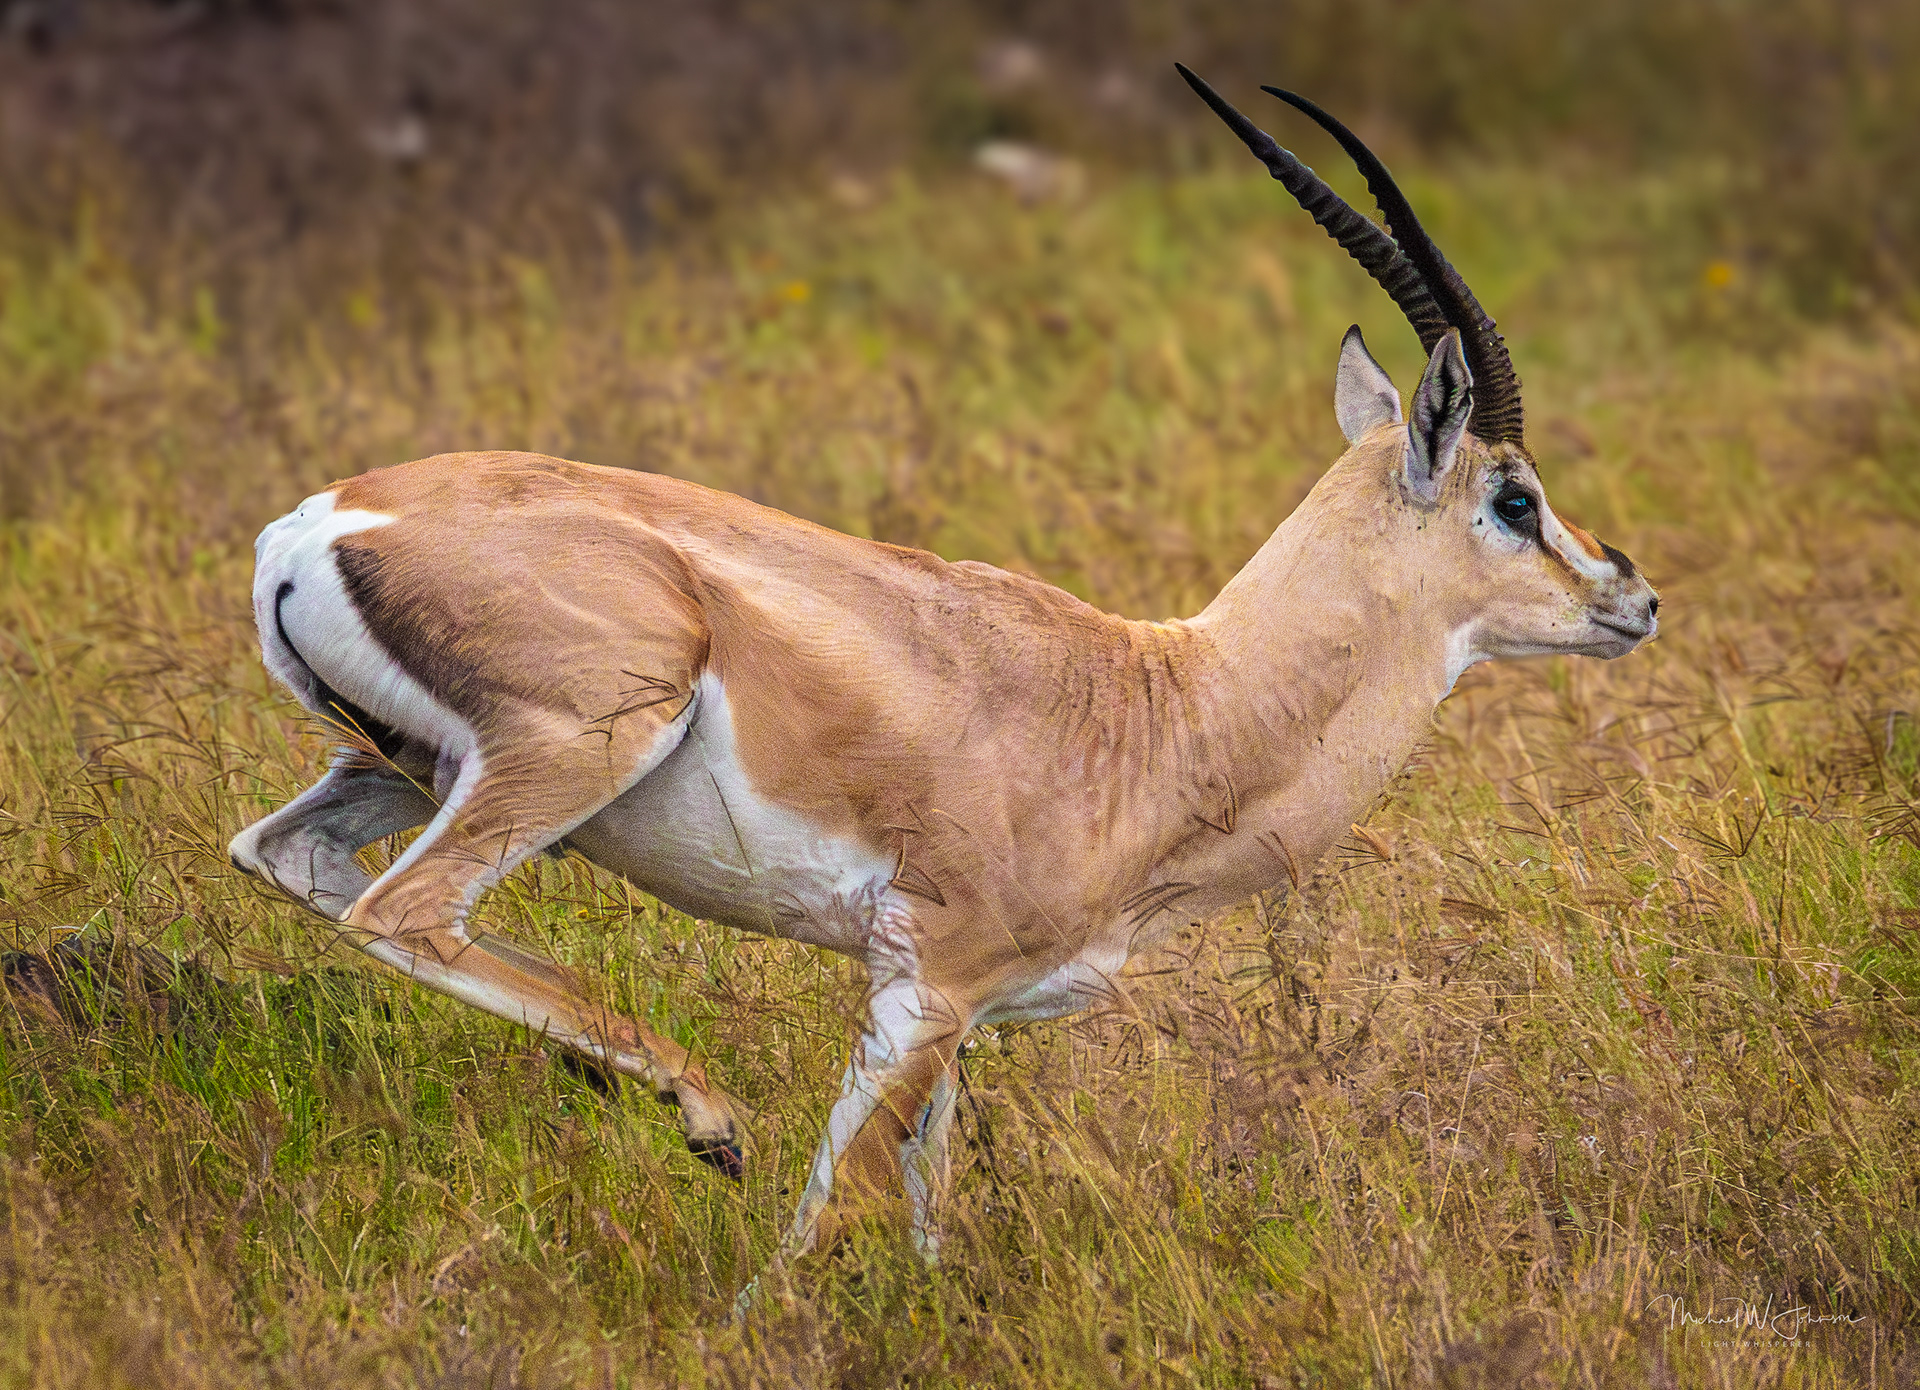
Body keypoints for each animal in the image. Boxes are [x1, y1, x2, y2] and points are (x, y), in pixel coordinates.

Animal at [227, 66, 1658, 1269]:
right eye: (1516, 499)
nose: (1634, 597)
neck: (1170, 709)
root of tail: (324, 518)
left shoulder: (955, 1022)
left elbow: (920, 1217)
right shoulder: (929, 986)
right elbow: (823, 1219)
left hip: (403, 767)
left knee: (287, 857)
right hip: (570, 753)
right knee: (404, 913)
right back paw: (709, 1116)